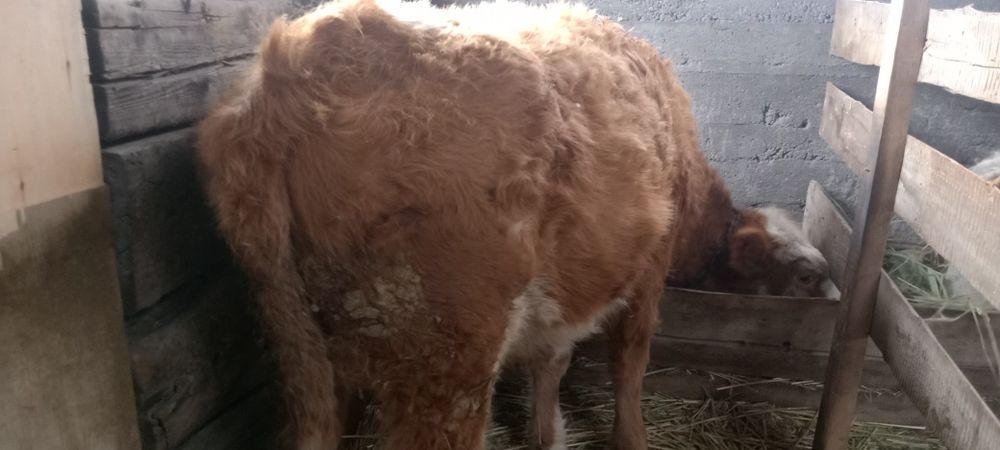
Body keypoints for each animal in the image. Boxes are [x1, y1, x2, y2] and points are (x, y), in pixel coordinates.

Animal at [196, 1, 833, 449]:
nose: (834, 295)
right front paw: (631, 438)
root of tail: (290, 65)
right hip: (443, 365)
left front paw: (546, 436)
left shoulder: (562, 290)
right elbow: (628, 365)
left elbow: (551, 362)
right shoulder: (646, 275)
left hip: (301, 354)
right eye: (805, 273)